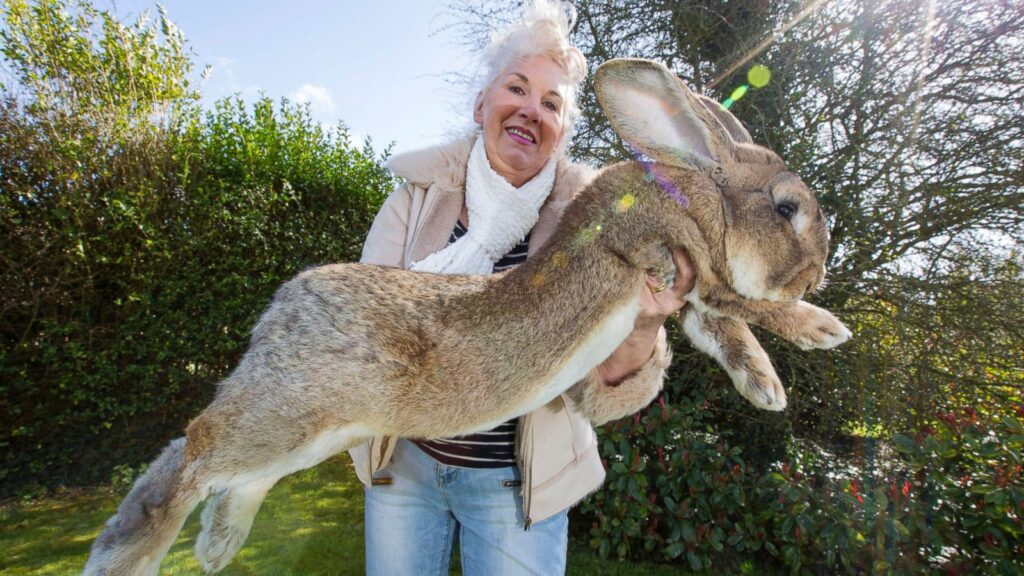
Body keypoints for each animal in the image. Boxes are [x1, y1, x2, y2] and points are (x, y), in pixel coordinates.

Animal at [83, 59, 847, 573]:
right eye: (787, 208)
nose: (820, 271)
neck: (693, 192)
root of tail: (278, 314)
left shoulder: (689, 297)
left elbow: (726, 330)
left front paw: (766, 388)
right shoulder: (674, 259)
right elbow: (745, 304)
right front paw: (822, 328)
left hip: (313, 431)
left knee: (227, 472)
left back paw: (216, 545)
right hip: (291, 411)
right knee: (193, 451)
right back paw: (134, 554)